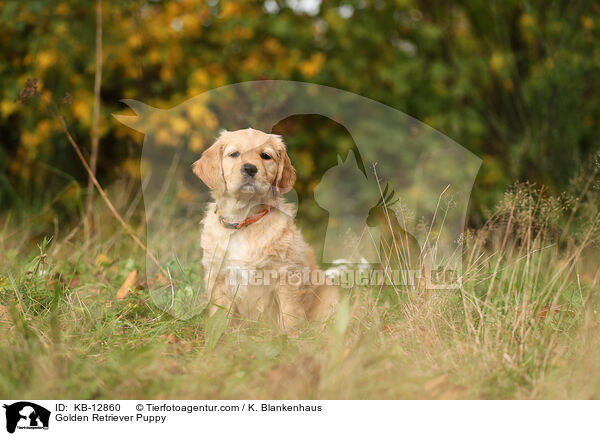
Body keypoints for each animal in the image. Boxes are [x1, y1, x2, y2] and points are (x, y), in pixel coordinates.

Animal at [195, 127, 340, 332]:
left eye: (265, 156)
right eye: (234, 154)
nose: (249, 168)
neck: (244, 220)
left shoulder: (287, 276)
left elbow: (290, 315)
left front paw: (290, 337)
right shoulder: (219, 276)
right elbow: (220, 315)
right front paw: (219, 335)